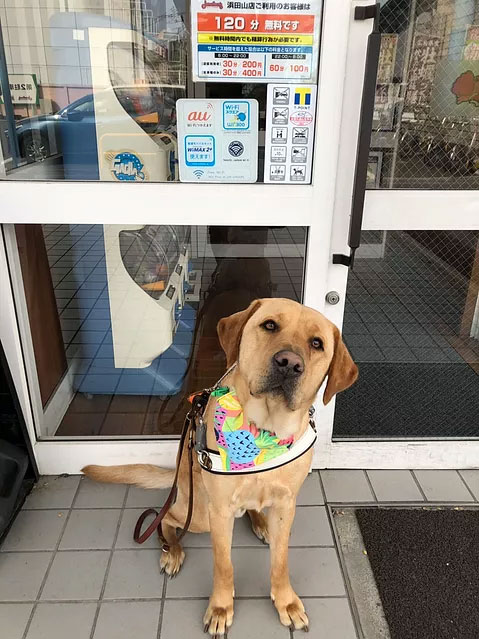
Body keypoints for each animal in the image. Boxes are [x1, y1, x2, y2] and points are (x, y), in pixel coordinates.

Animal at [84, 298, 358, 636]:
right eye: (269, 325)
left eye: (317, 344)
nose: (289, 363)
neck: (264, 431)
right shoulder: (220, 511)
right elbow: (224, 565)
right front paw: (220, 607)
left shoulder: (286, 505)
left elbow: (280, 561)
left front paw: (286, 601)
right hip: (199, 514)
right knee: (167, 517)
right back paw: (172, 550)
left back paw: (260, 523)